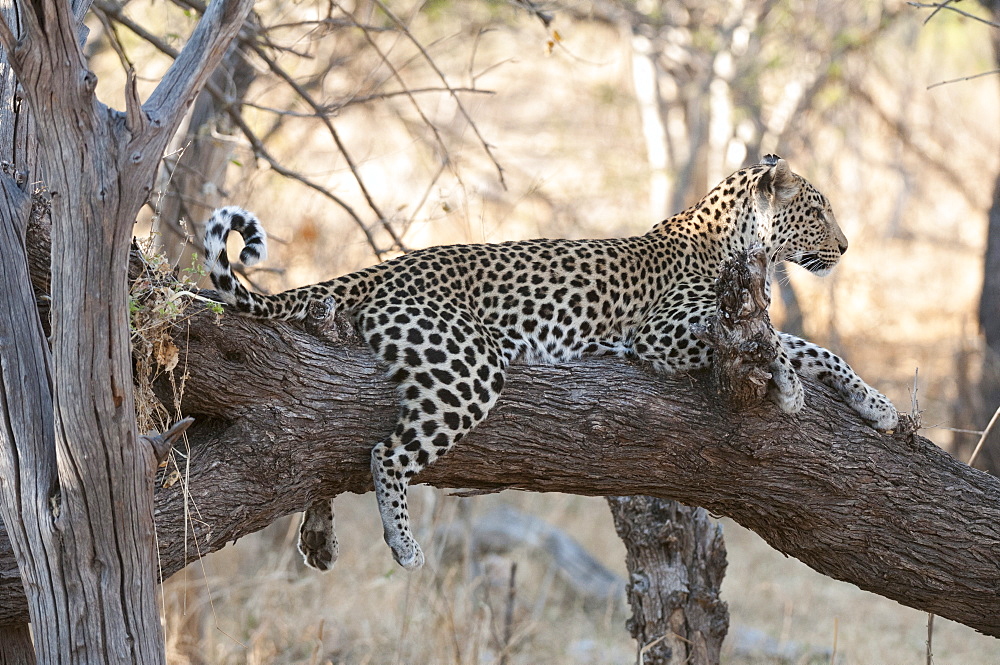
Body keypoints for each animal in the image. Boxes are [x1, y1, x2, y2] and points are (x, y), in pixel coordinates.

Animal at [201, 154, 900, 572]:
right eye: (818, 210)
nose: (846, 246)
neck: (740, 244)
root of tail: (382, 268)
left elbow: (817, 348)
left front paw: (877, 407)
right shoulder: (663, 335)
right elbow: (783, 343)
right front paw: (791, 389)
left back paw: (323, 539)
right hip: (471, 369)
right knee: (385, 454)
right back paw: (403, 544)